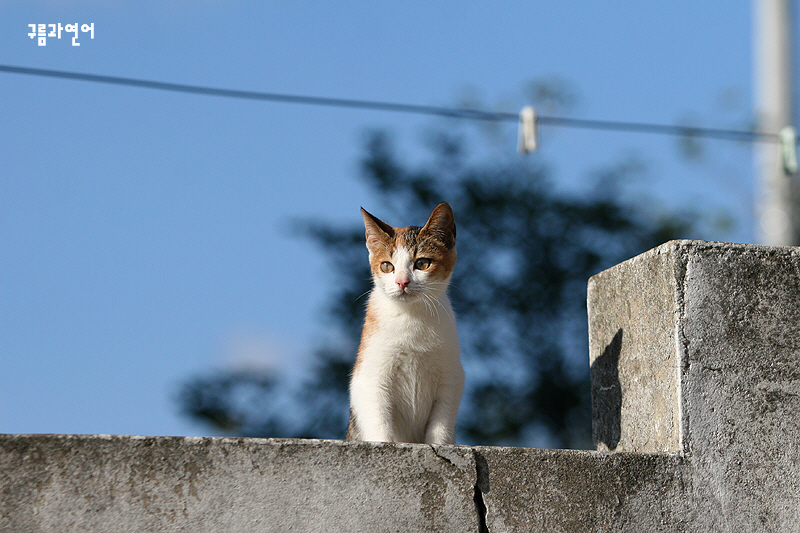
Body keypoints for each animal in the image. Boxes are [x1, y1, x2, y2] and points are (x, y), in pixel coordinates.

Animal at [344, 202, 462, 442]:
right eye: (387, 266)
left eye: (422, 263)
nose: (402, 282)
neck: (411, 316)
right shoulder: (370, 377)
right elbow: (380, 426)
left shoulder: (451, 378)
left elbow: (441, 427)